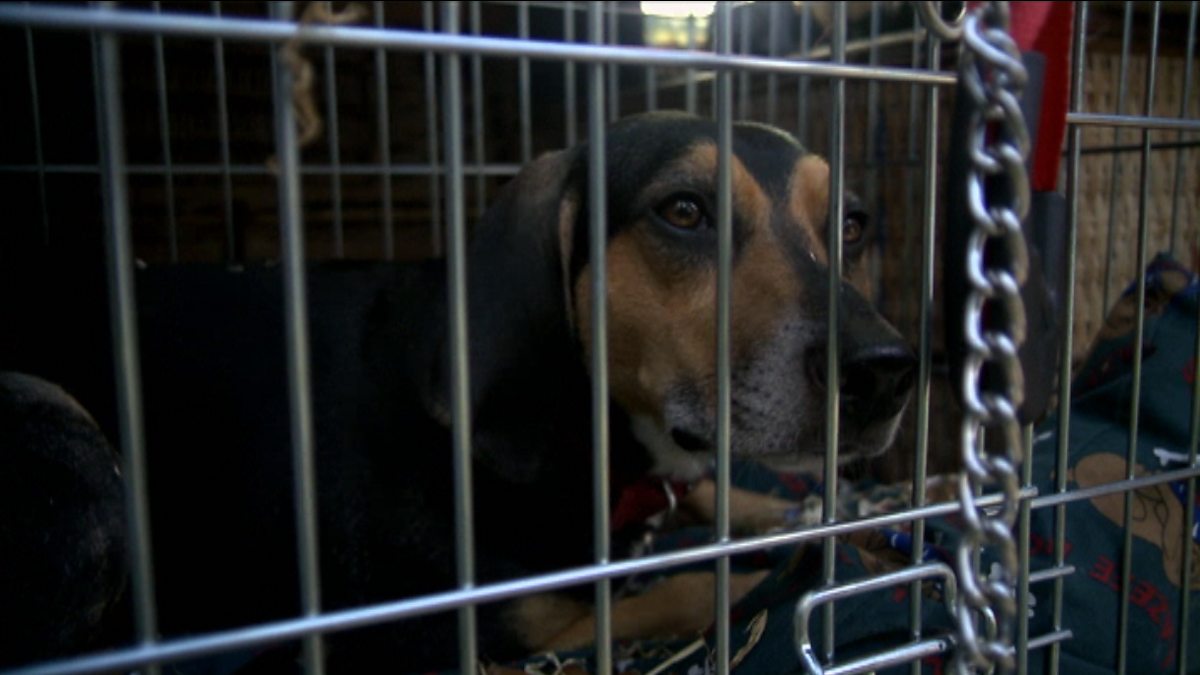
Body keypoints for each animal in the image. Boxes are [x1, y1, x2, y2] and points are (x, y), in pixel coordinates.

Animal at [0, 111, 914, 672]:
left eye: (852, 224)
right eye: (684, 211)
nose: (884, 370)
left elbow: (721, 494)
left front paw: (832, 514)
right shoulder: (456, 624)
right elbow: (694, 587)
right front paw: (799, 562)